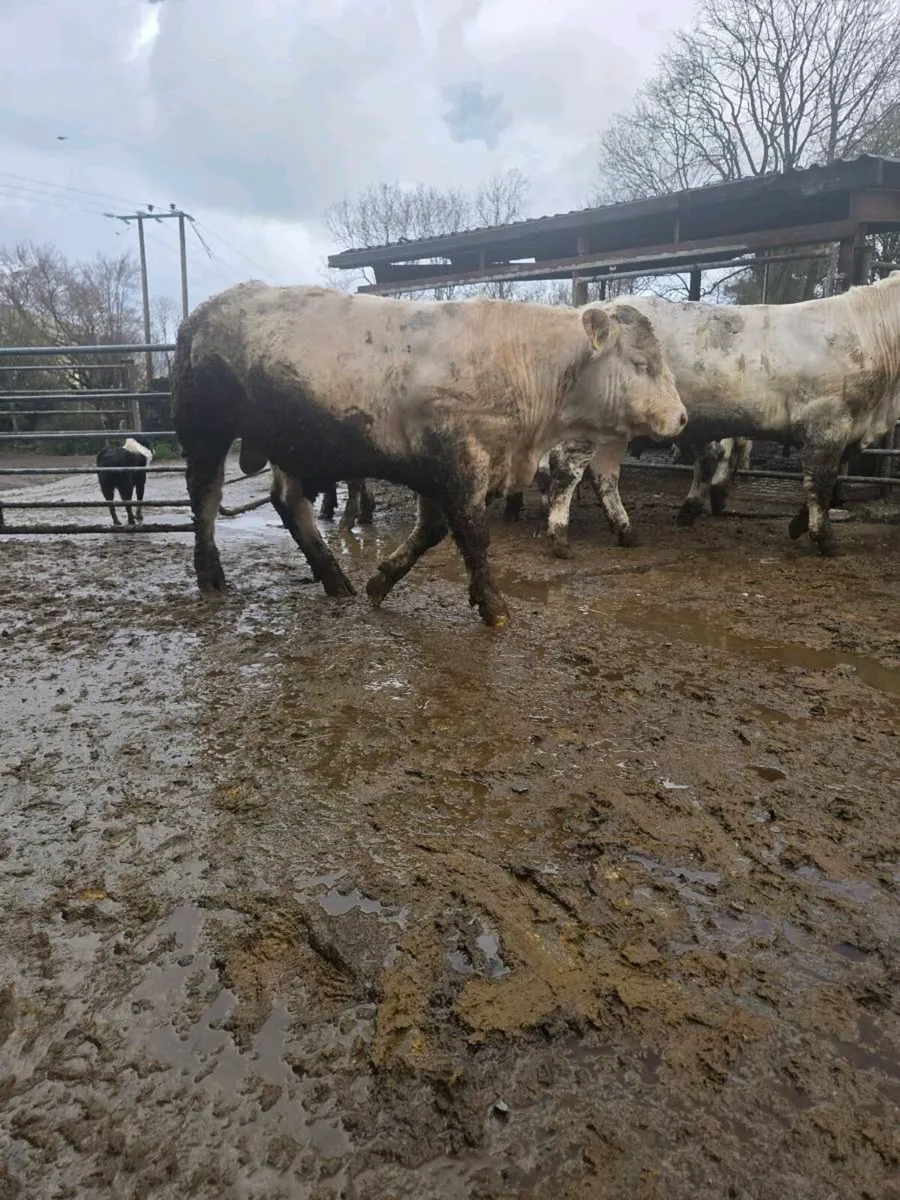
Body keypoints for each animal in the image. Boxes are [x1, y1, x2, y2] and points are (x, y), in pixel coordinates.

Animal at [172, 282, 687, 626]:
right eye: (642, 364)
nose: (682, 417)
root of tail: (205, 310)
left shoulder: (433, 470)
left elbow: (433, 530)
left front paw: (380, 581)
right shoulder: (459, 461)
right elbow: (473, 535)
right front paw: (493, 606)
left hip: (290, 442)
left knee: (288, 502)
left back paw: (335, 579)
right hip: (205, 431)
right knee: (205, 499)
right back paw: (210, 575)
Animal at [535, 274, 900, 557]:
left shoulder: (850, 429)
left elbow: (829, 479)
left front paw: (800, 524)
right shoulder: (825, 420)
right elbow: (822, 481)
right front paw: (824, 538)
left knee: (603, 473)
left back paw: (624, 530)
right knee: (569, 466)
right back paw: (560, 535)